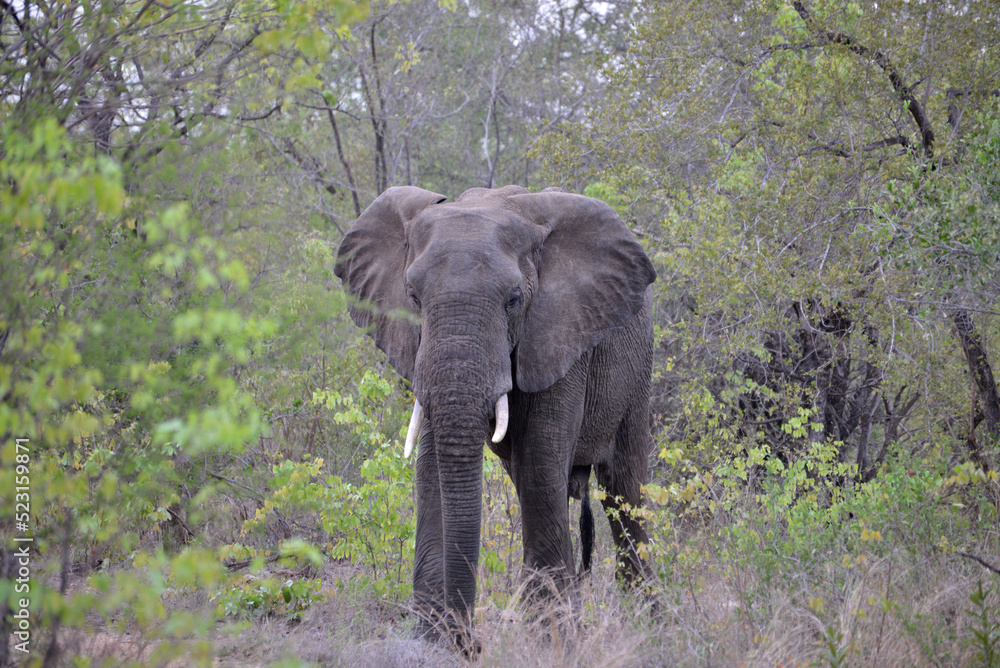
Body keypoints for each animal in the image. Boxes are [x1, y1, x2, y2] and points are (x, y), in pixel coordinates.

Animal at [334, 184, 656, 647]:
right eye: (412, 298)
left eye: (514, 301)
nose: (472, 643)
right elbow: (432, 468)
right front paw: (435, 642)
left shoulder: (558, 331)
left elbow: (541, 463)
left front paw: (552, 640)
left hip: (637, 368)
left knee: (623, 492)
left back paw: (648, 623)